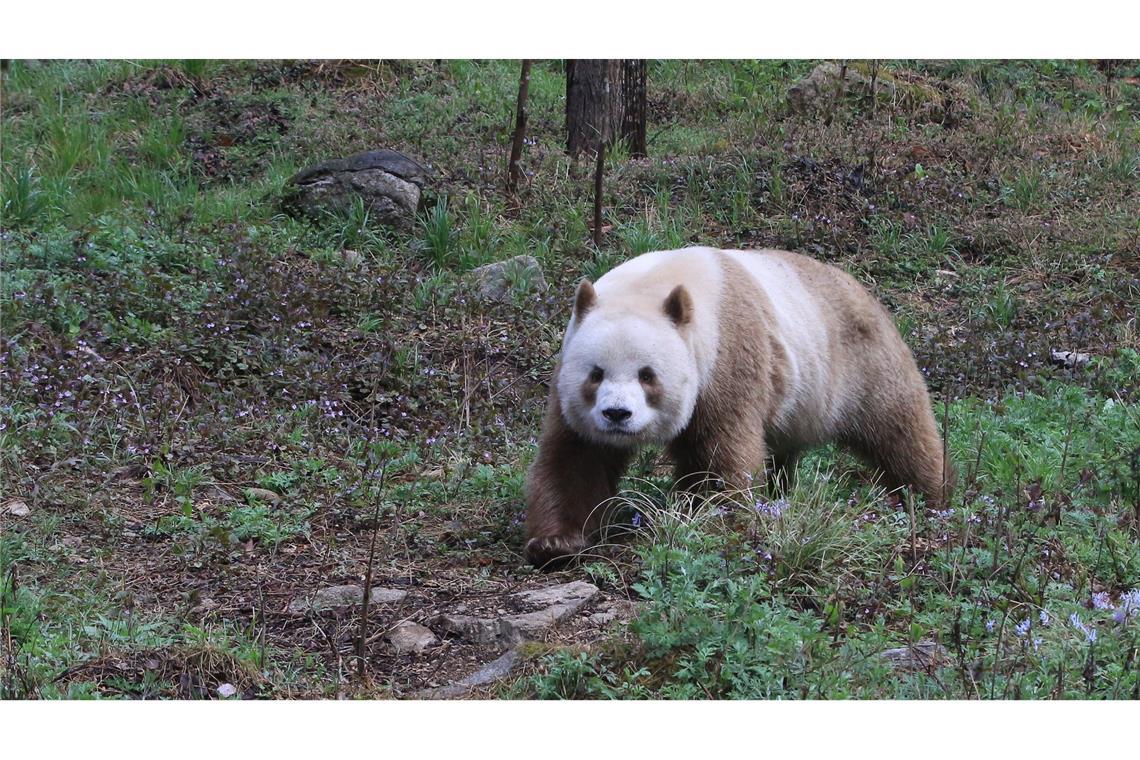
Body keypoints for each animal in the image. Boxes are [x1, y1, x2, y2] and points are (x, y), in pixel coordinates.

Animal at [524, 247, 953, 567]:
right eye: (596, 374)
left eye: (647, 376)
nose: (617, 414)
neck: (655, 285)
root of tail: (860, 286)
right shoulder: (569, 376)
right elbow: (576, 456)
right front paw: (556, 544)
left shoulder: (725, 355)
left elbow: (720, 452)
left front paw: (711, 520)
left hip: (856, 363)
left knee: (898, 428)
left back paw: (931, 498)